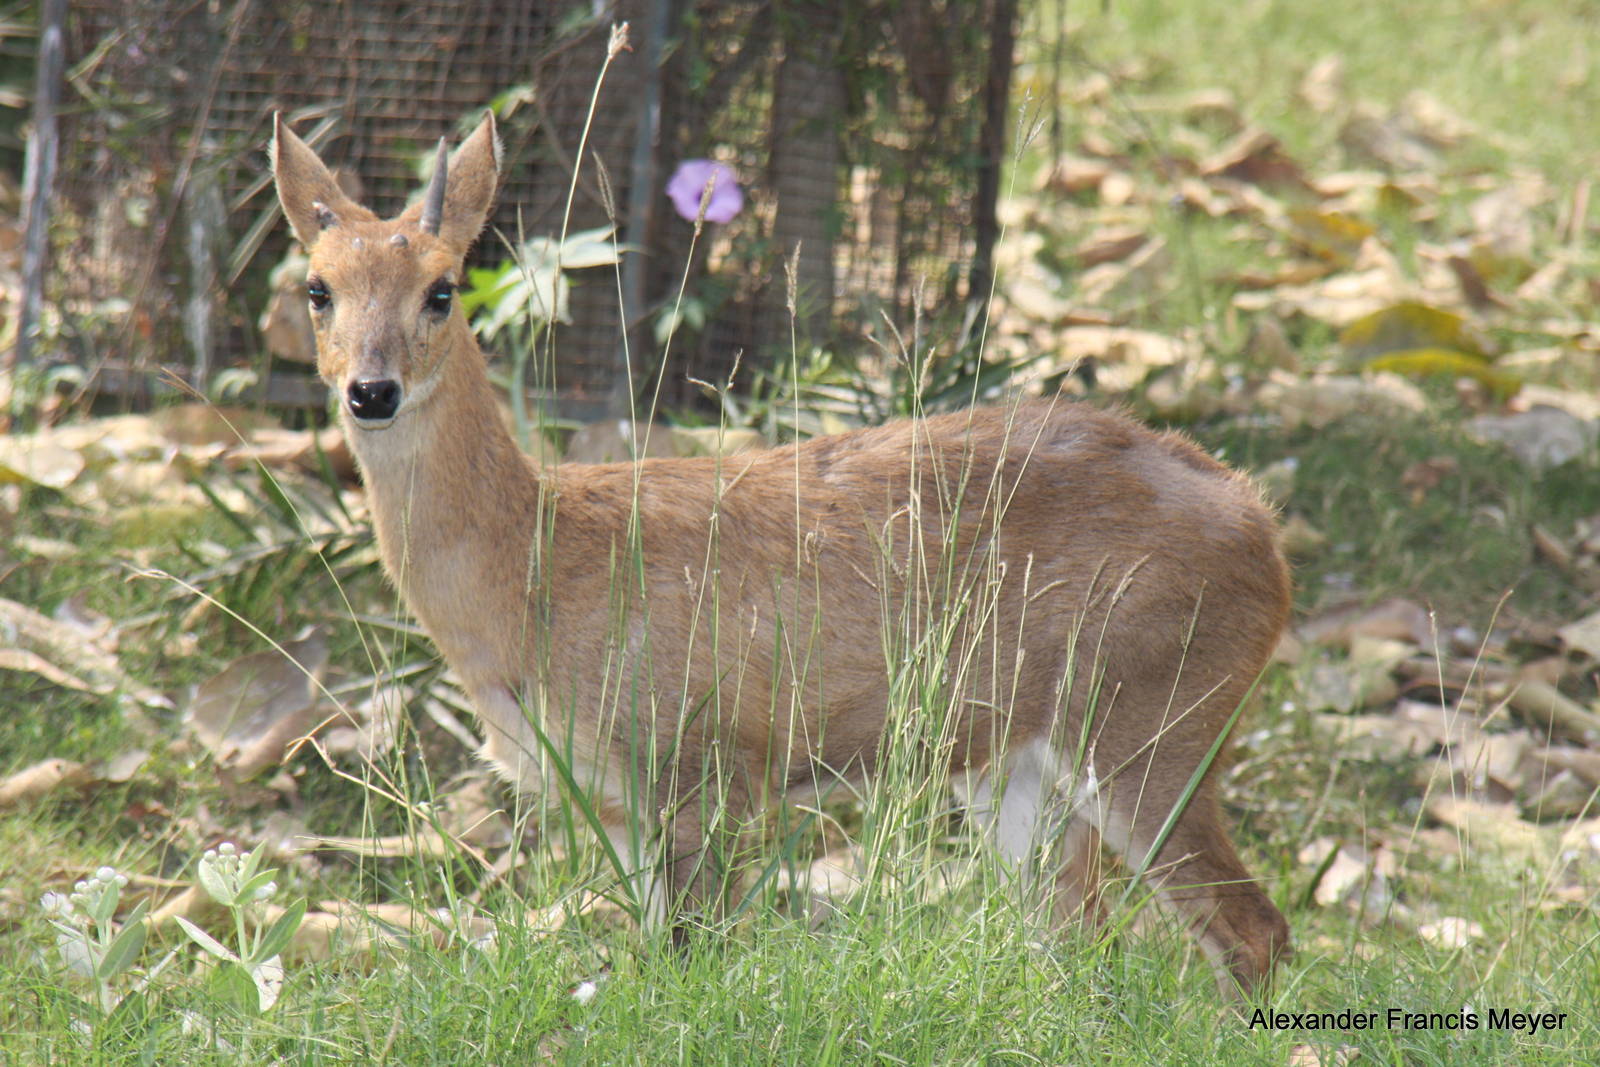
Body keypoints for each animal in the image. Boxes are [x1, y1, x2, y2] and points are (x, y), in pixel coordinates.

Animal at [271, 111, 1292, 996]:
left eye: (442, 290)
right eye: (317, 289)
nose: (370, 390)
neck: (533, 567)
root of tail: (1265, 531)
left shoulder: (703, 756)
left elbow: (697, 954)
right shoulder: (618, 797)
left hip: (1151, 718)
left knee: (1254, 929)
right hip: (1021, 760)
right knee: (1077, 937)